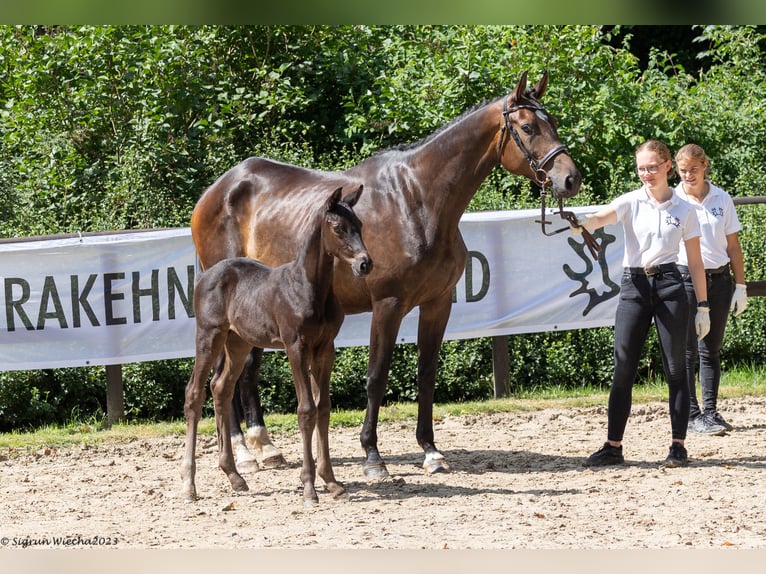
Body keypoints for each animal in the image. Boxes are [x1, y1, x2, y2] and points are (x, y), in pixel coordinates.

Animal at [181, 187, 372, 506]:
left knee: (221, 387)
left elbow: (323, 408)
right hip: (209, 335)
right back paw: (188, 484)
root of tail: (205, 274)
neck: (310, 288)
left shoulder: (325, 349)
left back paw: (234, 475)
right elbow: (306, 410)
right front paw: (309, 488)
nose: (364, 263)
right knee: (194, 393)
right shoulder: (296, 347)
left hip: (238, 342)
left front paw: (331, 482)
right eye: (337, 228)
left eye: (359, 225)